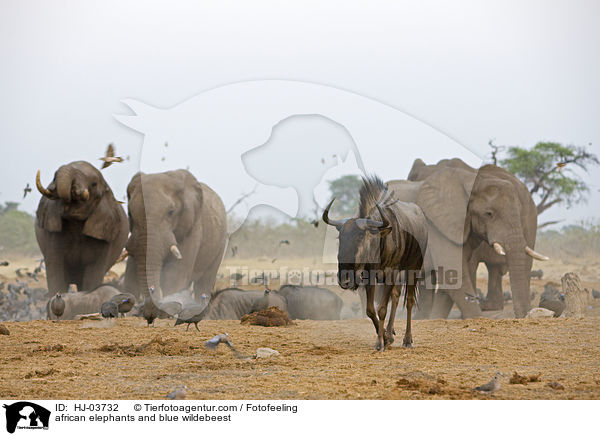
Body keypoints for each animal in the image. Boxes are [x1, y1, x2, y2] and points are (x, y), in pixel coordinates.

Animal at [35, 160, 129, 292]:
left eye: (94, 184)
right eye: (54, 176)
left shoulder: (104, 234)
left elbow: (93, 275)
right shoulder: (52, 234)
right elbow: (55, 270)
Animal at [124, 169, 227, 304]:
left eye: (171, 212)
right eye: (130, 213)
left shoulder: (193, 229)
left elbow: (175, 276)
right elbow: (130, 275)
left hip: (220, 245)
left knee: (203, 284)